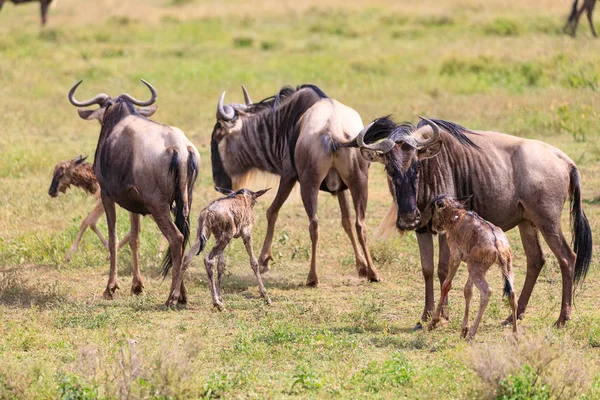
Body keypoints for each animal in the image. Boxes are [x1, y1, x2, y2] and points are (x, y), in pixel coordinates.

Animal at [424, 195, 516, 340]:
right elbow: (468, 291)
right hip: (503, 268)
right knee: (512, 294)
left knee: (487, 291)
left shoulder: (455, 257)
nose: (430, 227)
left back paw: (472, 334)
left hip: (476, 270)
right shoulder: (469, 263)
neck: (456, 216)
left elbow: (446, 284)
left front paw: (433, 322)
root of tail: (497, 244)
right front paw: (464, 329)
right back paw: (515, 334)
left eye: (432, 208)